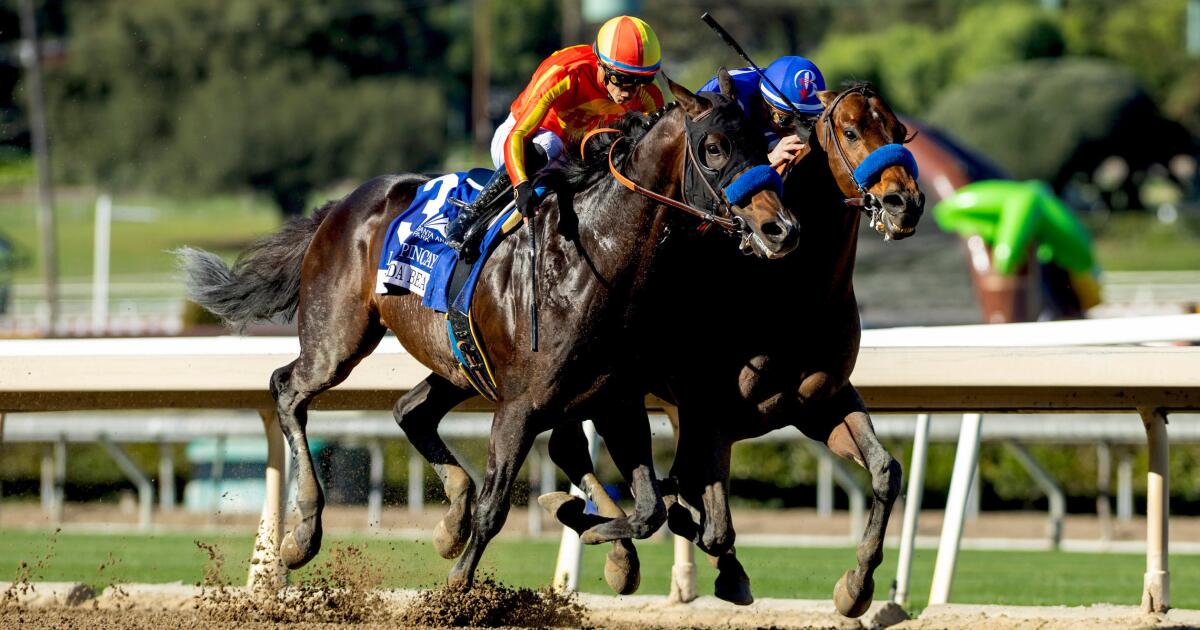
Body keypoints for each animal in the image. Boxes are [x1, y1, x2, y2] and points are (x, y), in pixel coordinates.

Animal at [177, 72, 799, 591]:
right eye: (715, 148)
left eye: (762, 141)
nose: (781, 228)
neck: (595, 260)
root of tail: (339, 206)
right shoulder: (520, 408)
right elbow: (499, 509)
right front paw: (458, 588)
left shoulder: (615, 400)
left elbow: (648, 510)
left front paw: (588, 526)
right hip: (339, 339)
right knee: (289, 388)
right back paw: (303, 534)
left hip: (458, 362)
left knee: (411, 410)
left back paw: (451, 518)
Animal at [545, 82, 924, 617]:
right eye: (851, 131)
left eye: (897, 130)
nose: (904, 202)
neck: (791, 291)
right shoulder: (712, 414)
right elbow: (707, 514)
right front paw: (722, 565)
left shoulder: (821, 401)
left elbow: (887, 471)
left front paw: (856, 587)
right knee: (570, 447)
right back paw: (609, 544)